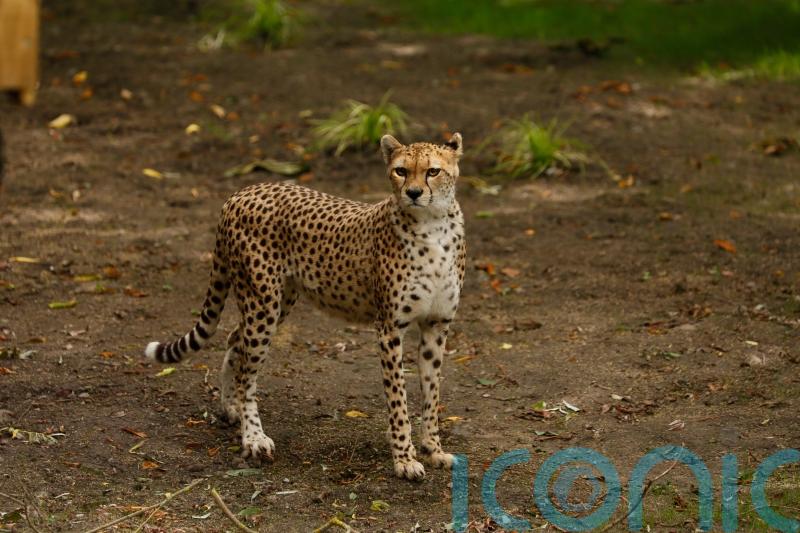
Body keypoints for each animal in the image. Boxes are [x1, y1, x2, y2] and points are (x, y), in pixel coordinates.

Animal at [144, 133, 466, 480]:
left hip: (278, 301)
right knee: (247, 370)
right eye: (401, 171)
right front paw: (404, 459)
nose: (414, 193)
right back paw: (253, 436)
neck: (432, 226)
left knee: (235, 340)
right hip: (263, 303)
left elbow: (431, 395)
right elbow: (399, 401)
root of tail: (242, 192)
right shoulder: (389, 329)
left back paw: (231, 407)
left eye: (433, 171)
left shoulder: (436, 325)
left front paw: (434, 450)